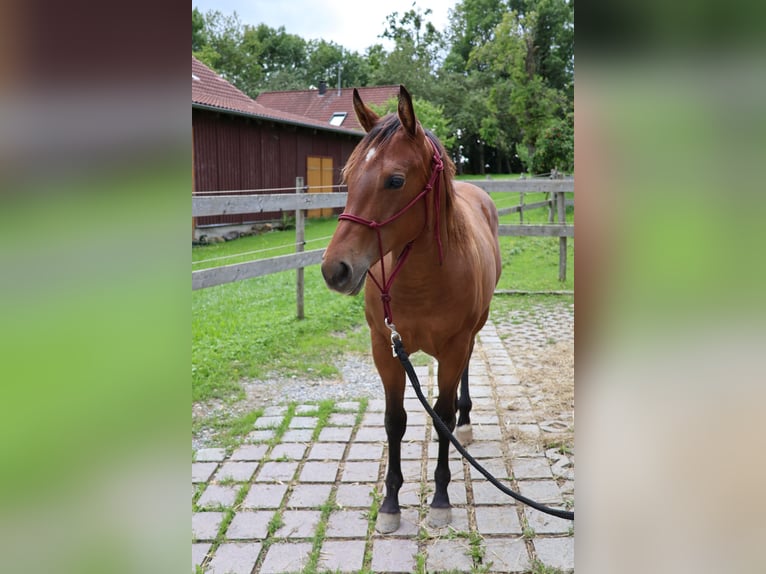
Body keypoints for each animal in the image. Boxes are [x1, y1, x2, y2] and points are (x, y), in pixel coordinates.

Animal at [321, 85, 501, 533]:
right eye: (348, 177)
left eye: (395, 180)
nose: (335, 269)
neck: (421, 280)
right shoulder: (385, 348)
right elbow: (395, 421)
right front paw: (390, 503)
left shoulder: (453, 347)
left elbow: (442, 417)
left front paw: (440, 499)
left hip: (473, 331)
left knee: (465, 375)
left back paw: (466, 423)